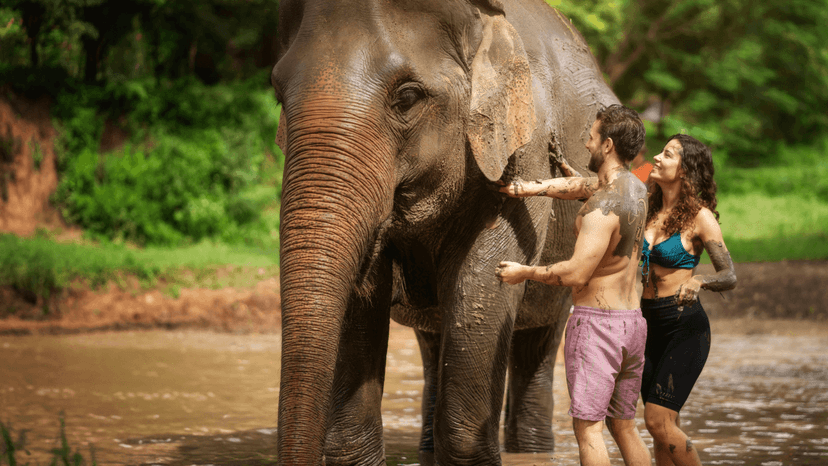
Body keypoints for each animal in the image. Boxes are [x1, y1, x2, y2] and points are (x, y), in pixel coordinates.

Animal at [271, 0, 619, 464]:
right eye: (278, 93)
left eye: (407, 97)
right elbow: (360, 300)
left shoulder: (523, 147)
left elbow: (483, 285)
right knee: (434, 341)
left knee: (540, 340)